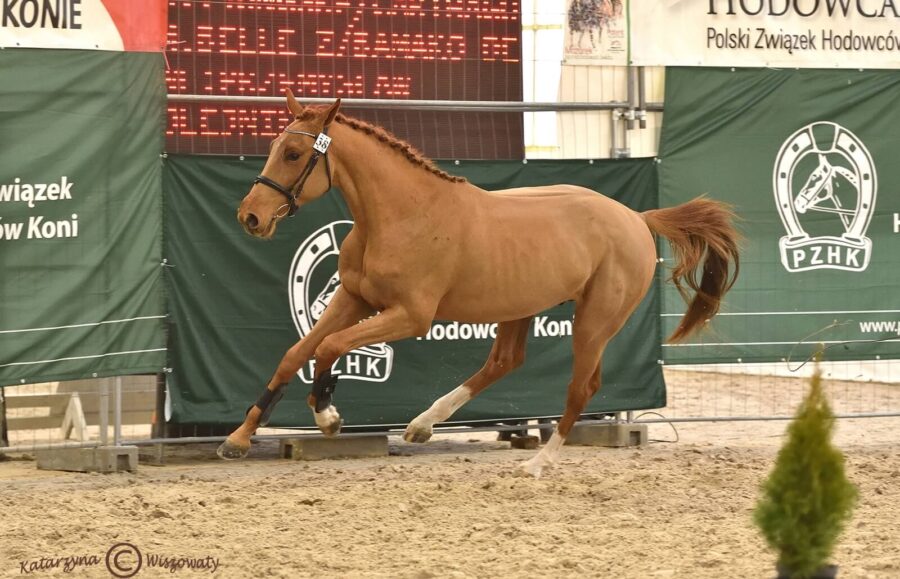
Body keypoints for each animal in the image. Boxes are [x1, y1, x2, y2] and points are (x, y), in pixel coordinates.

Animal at [220, 94, 740, 476]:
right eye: (275, 147)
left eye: (293, 153)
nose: (251, 217)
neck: (402, 214)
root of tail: (636, 216)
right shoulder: (353, 298)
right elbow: (296, 353)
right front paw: (237, 439)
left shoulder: (410, 316)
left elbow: (330, 347)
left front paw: (326, 415)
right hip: (520, 308)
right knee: (504, 362)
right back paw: (421, 426)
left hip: (596, 320)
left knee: (582, 386)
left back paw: (538, 462)